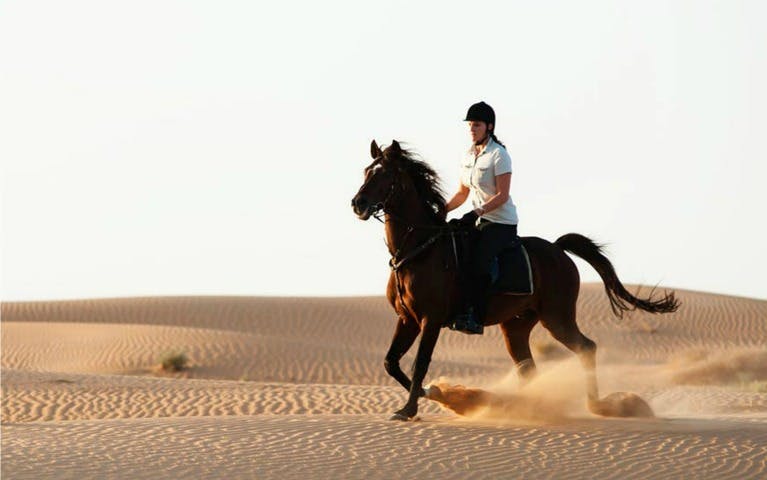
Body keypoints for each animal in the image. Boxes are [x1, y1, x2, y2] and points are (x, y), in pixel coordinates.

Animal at [350, 139, 680, 420]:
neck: (419, 248)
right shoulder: (407, 319)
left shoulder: (430, 320)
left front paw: (414, 406)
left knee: (587, 348)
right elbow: (391, 362)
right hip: (516, 326)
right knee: (528, 368)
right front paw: (435, 395)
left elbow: (420, 364)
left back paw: (596, 406)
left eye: (384, 175)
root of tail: (558, 249)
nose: (358, 204)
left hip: (557, 317)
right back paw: (528, 407)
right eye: (367, 171)